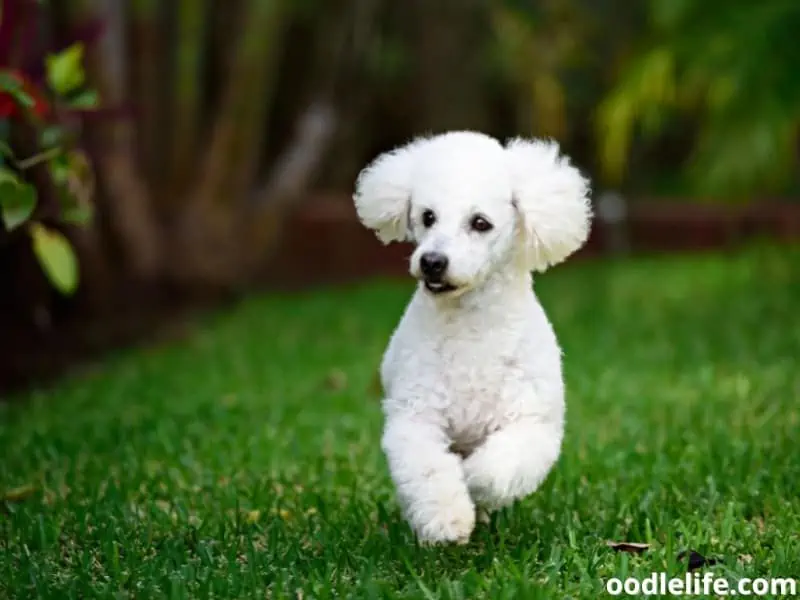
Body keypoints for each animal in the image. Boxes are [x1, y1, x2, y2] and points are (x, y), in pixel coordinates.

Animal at [354, 130, 592, 544]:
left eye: (480, 223)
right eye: (427, 216)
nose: (432, 262)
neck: (470, 326)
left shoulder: (531, 422)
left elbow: (496, 470)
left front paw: (473, 482)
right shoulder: (417, 417)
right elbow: (429, 469)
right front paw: (447, 520)